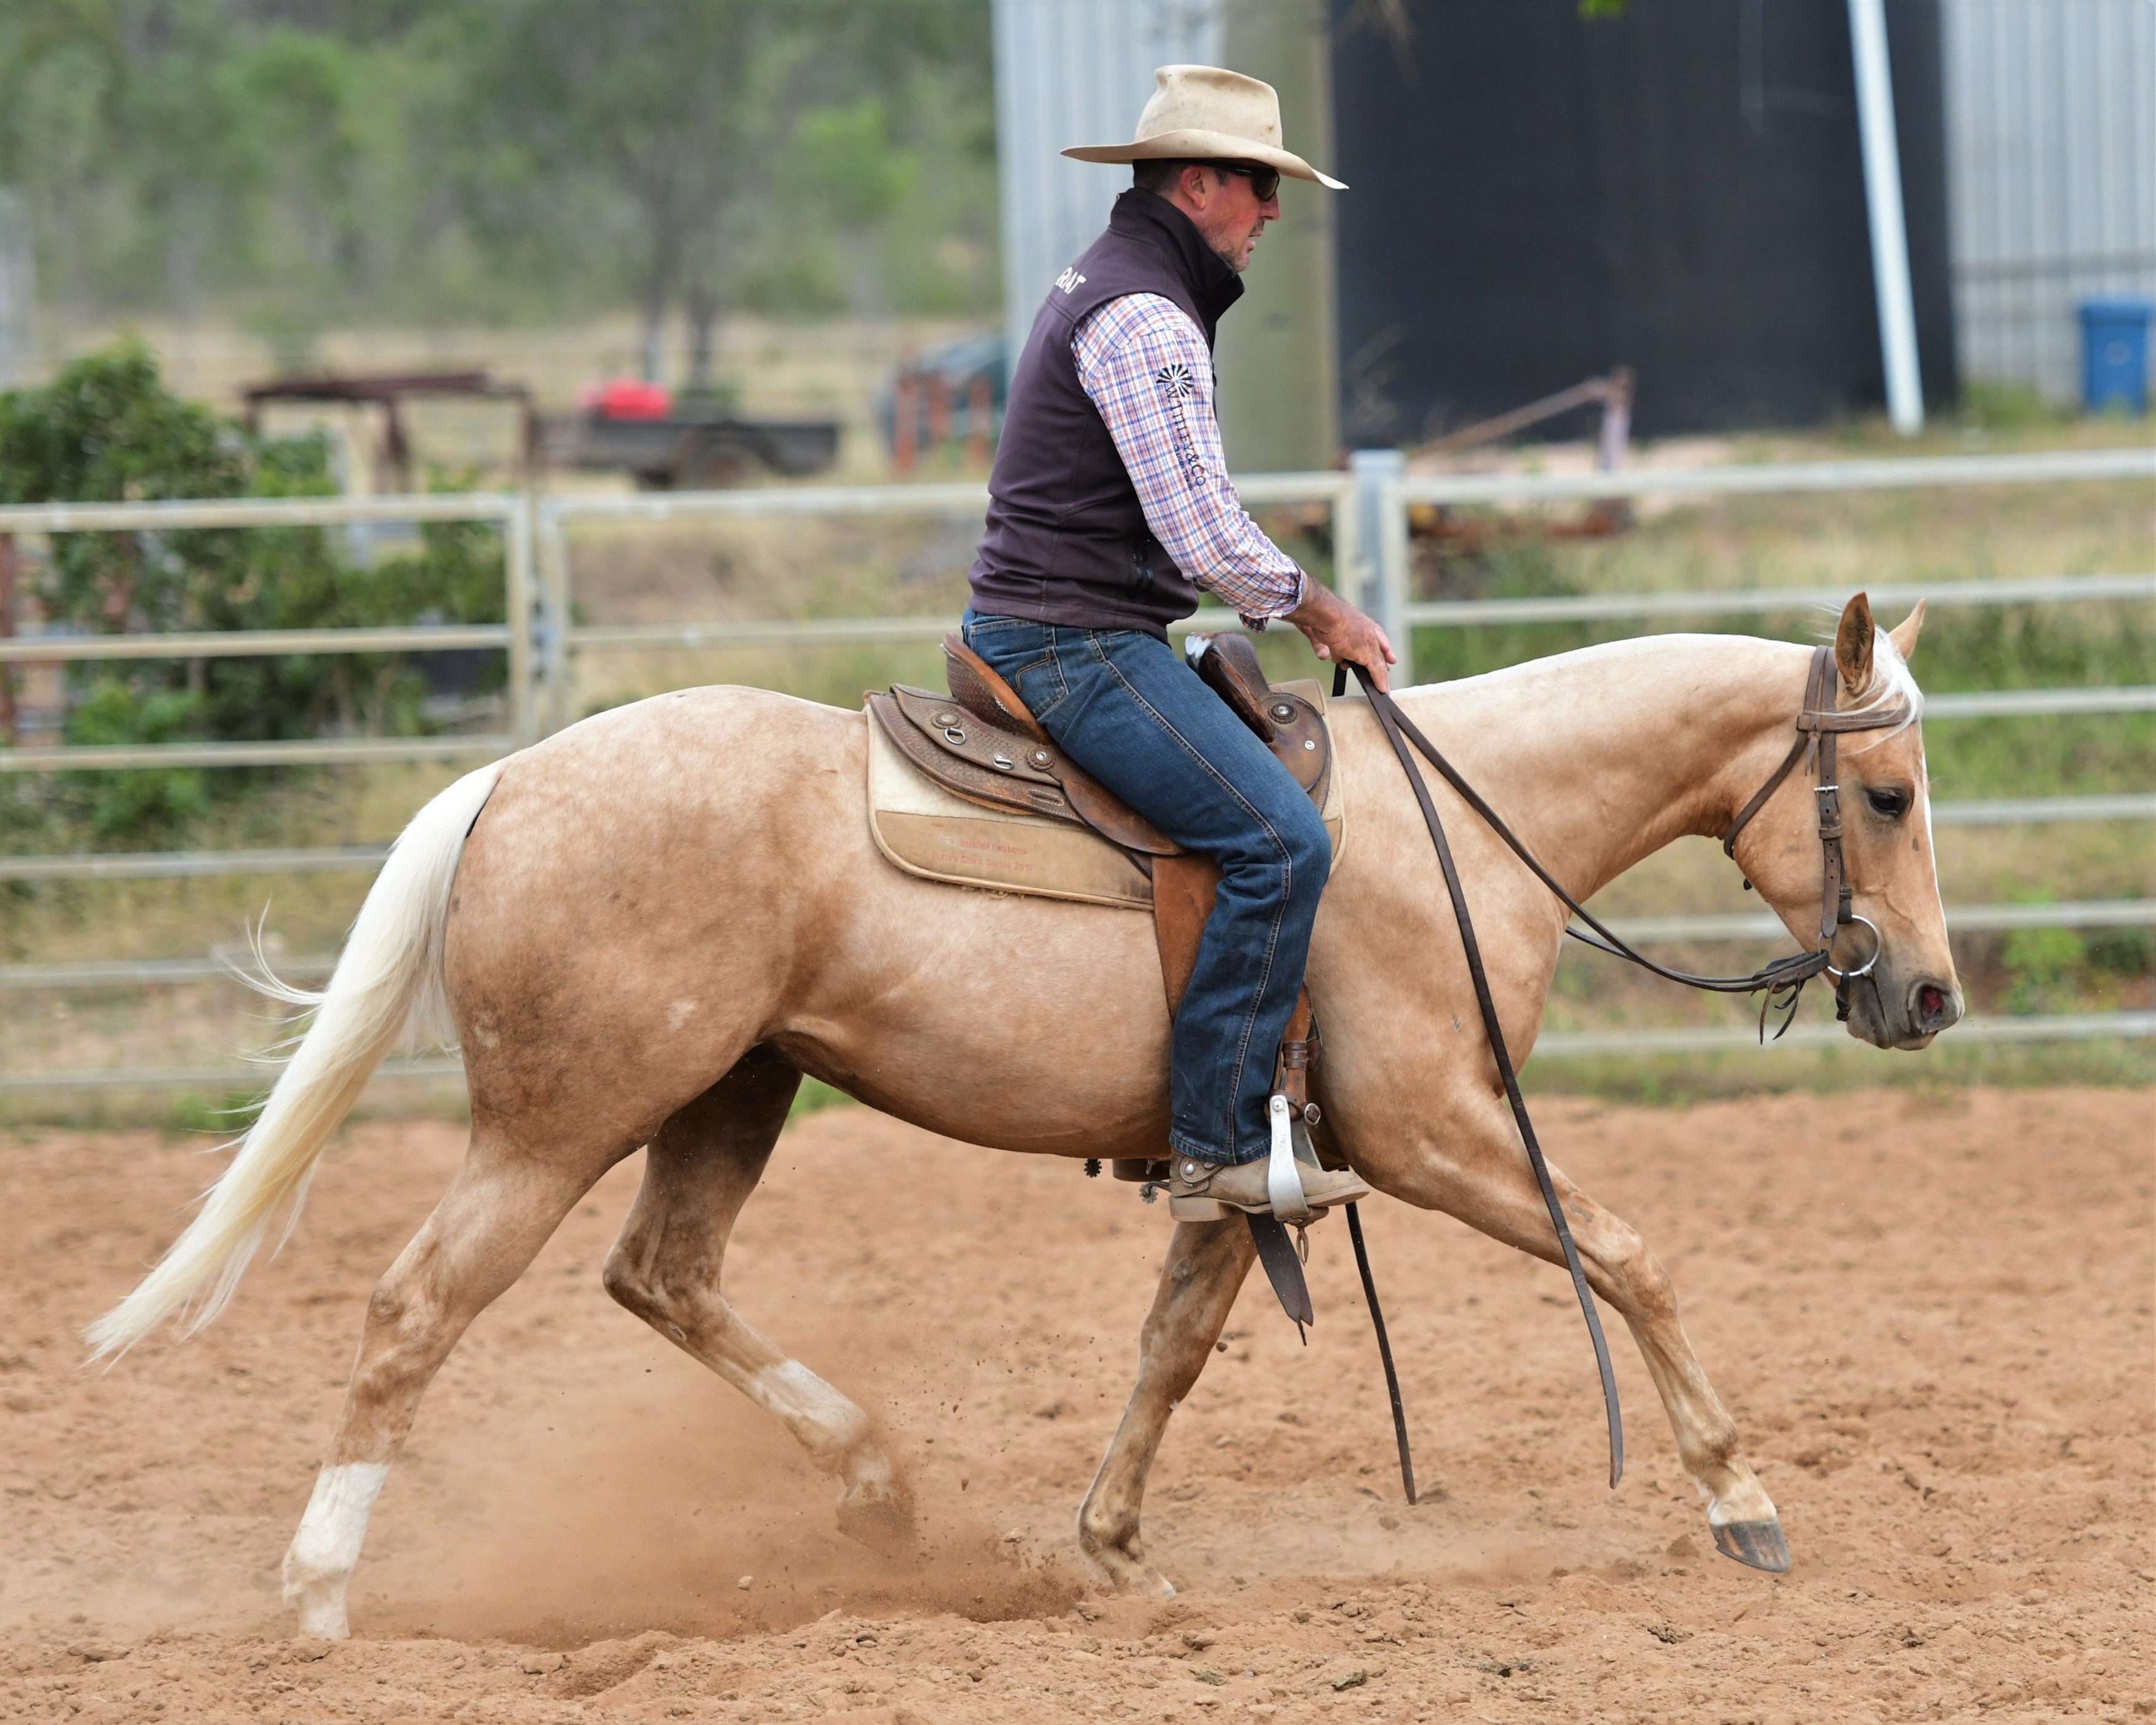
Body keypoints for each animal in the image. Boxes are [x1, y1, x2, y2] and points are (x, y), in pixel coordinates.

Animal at [86, 593, 1959, 1638]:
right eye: (1883, 791)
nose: (1931, 996)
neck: (1463, 829)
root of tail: (507, 778)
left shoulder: (1255, 1162)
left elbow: (1171, 1345)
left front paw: (1107, 1548)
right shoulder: (1429, 1129)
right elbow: (1631, 1254)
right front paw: (1738, 1500)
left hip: (733, 1089)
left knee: (662, 1274)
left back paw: (873, 1482)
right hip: (557, 1120)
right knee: (417, 1305)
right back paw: (321, 1588)